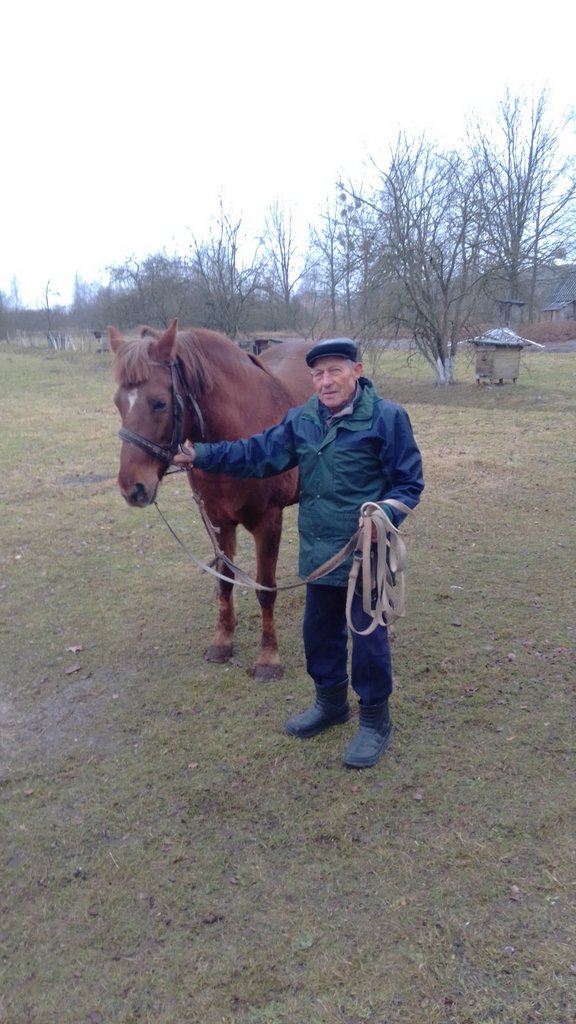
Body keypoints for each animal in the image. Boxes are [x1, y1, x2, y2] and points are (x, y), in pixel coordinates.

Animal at [109, 319, 311, 679]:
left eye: (159, 403)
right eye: (119, 402)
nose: (132, 488)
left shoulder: (268, 522)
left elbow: (265, 589)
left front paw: (268, 658)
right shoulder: (217, 522)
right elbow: (225, 581)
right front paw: (222, 641)